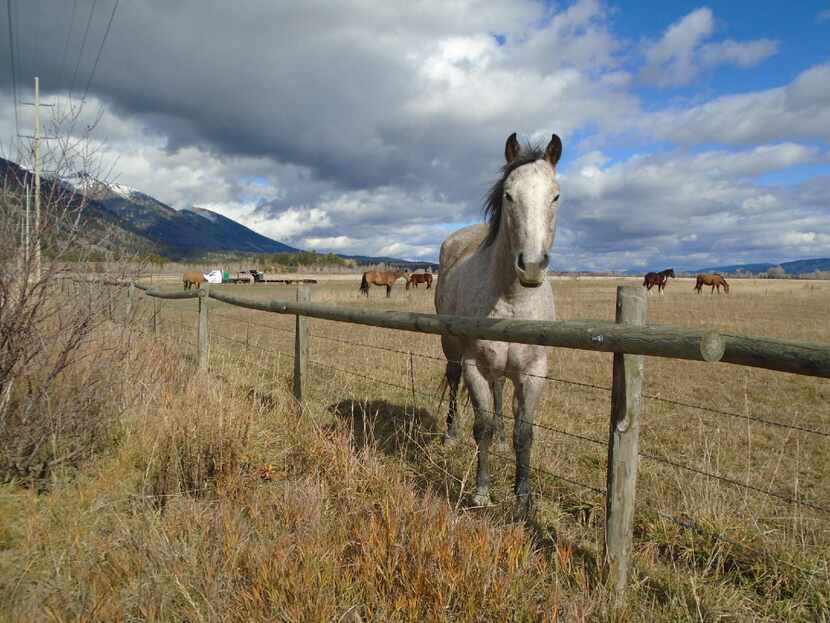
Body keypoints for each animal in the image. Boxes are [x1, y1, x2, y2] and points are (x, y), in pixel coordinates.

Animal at [436, 132, 564, 512]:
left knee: (500, 391)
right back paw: (450, 434)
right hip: (451, 349)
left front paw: (524, 496)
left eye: (555, 195)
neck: (512, 300)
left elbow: (525, 432)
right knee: (453, 382)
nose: (532, 266)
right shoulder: (475, 365)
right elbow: (483, 427)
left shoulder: (535, 372)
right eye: (508, 195)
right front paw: (482, 491)